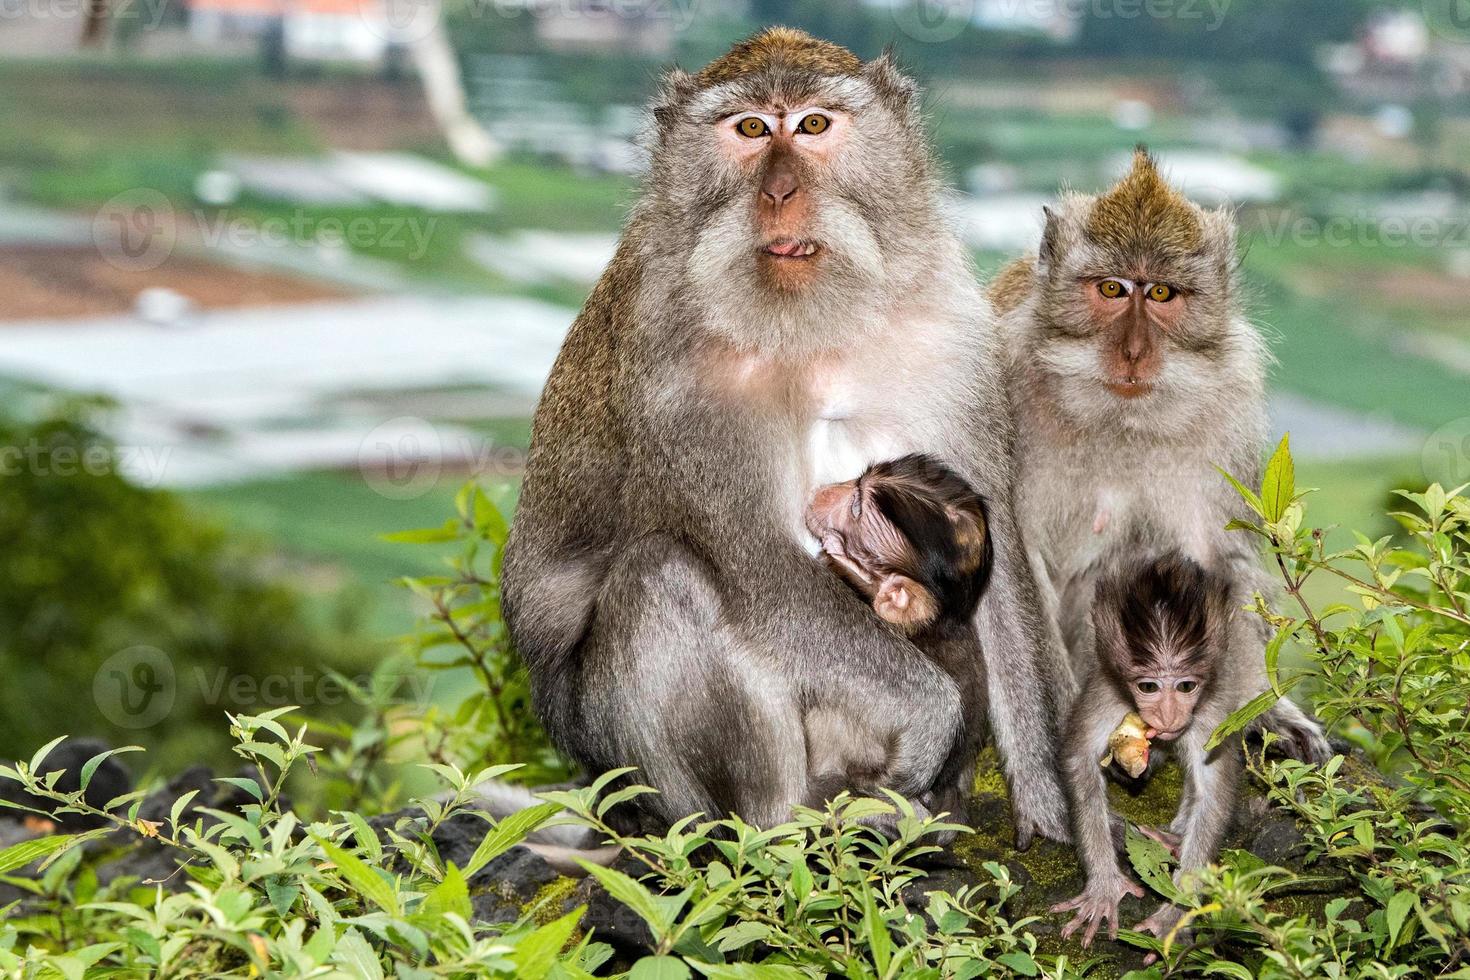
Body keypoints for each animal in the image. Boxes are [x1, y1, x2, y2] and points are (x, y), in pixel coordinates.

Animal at [993, 149, 1328, 764]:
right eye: (1111, 288)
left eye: (1162, 294)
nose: (1133, 352)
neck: (1115, 418)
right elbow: (1012, 558)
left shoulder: (1225, 411)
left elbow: (1215, 560)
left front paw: (1263, 711)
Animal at [1052, 558, 1246, 952]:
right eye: (1148, 686)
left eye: (1185, 686)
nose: (1169, 716)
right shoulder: (1107, 690)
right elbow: (1080, 759)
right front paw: (1104, 886)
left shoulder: (1211, 709)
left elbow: (1213, 793)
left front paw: (1175, 915)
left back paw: (1174, 840)